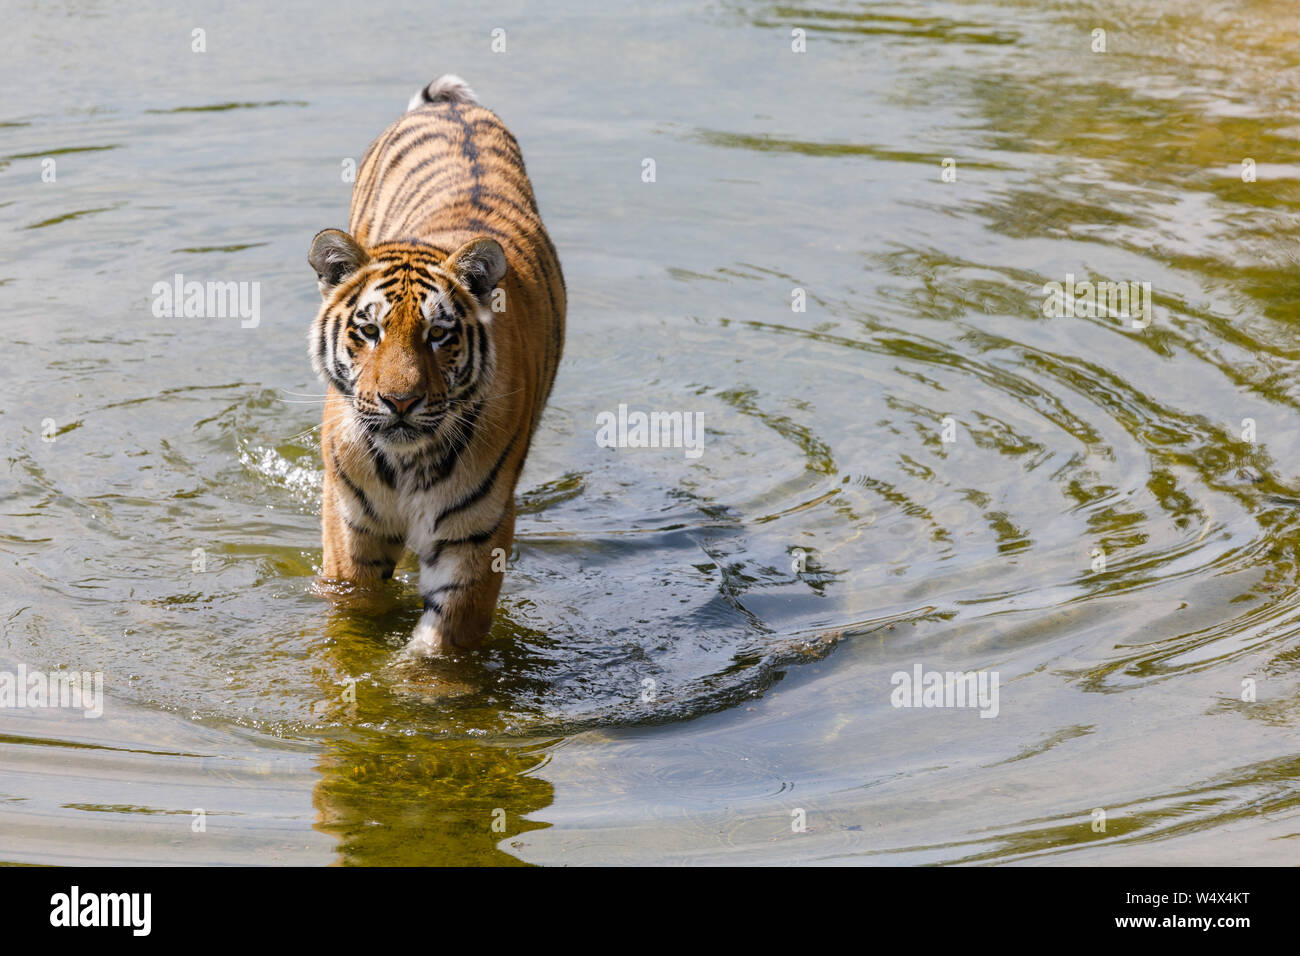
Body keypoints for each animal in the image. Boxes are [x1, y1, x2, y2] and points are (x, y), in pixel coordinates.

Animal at [309, 76, 569, 658]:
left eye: (438, 334)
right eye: (369, 331)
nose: (400, 402)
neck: (405, 464)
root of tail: (450, 107)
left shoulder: (475, 532)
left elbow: (442, 646)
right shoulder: (350, 526)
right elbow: (357, 618)